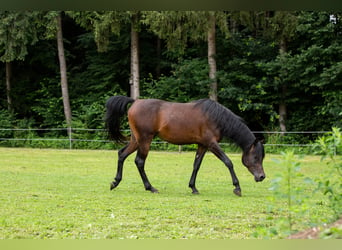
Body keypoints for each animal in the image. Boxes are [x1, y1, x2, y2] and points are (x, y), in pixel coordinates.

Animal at [105, 94, 266, 196]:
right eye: (256, 157)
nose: (262, 177)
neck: (215, 117)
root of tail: (135, 102)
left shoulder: (203, 145)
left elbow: (196, 165)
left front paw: (193, 187)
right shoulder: (212, 144)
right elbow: (228, 162)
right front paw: (237, 187)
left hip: (136, 140)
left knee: (122, 154)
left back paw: (115, 182)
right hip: (145, 140)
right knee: (139, 161)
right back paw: (150, 187)